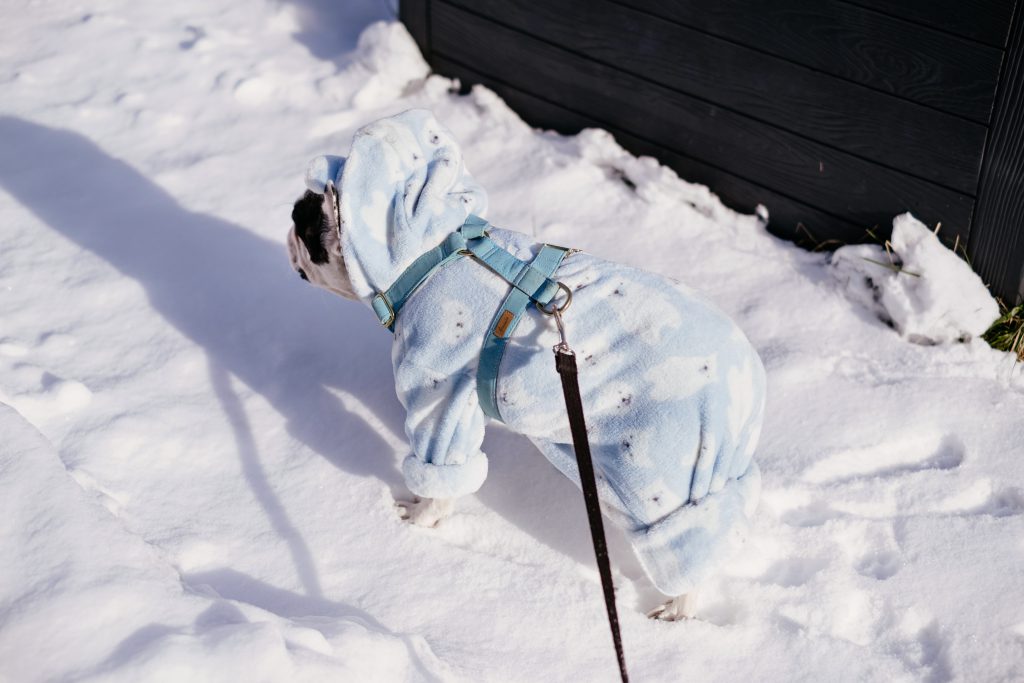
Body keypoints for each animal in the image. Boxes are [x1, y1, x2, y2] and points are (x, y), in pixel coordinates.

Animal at [284, 109, 765, 622]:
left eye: (305, 224)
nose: (290, 220)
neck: (428, 256)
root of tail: (749, 393)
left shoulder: (437, 395)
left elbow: (439, 471)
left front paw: (418, 518)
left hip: (658, 468)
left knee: (687, 543)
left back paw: (677, 612)